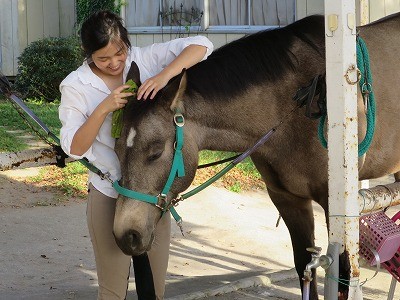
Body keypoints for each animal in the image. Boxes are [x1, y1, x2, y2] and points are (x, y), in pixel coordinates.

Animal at [111, 12, 400, 298]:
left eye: (156, 151)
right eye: (116, 150)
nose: (126, 235)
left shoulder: (335, 208)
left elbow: (342, 275)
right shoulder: (289, 201)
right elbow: (304, 267)